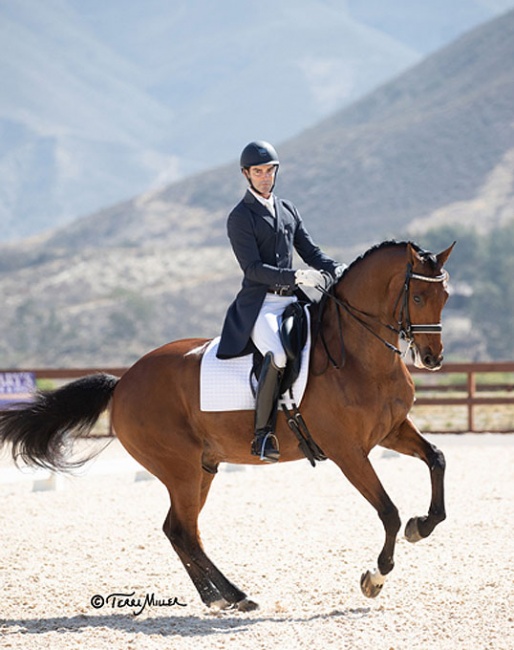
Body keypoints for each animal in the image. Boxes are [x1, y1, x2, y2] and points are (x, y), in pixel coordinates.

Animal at [0, 238, 450, 608]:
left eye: (444, 295)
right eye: (419, 295)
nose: (432, 359)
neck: (360, 357)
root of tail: (123, 381)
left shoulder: (391, 431)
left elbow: (437, 460)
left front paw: (422, 526)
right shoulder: (347, 451)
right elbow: (388, 511)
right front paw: (375, 577)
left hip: (203, 467)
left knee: (177, 529)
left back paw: (220, 597)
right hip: (180, 468)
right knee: (184, 530)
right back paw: (231, 595)